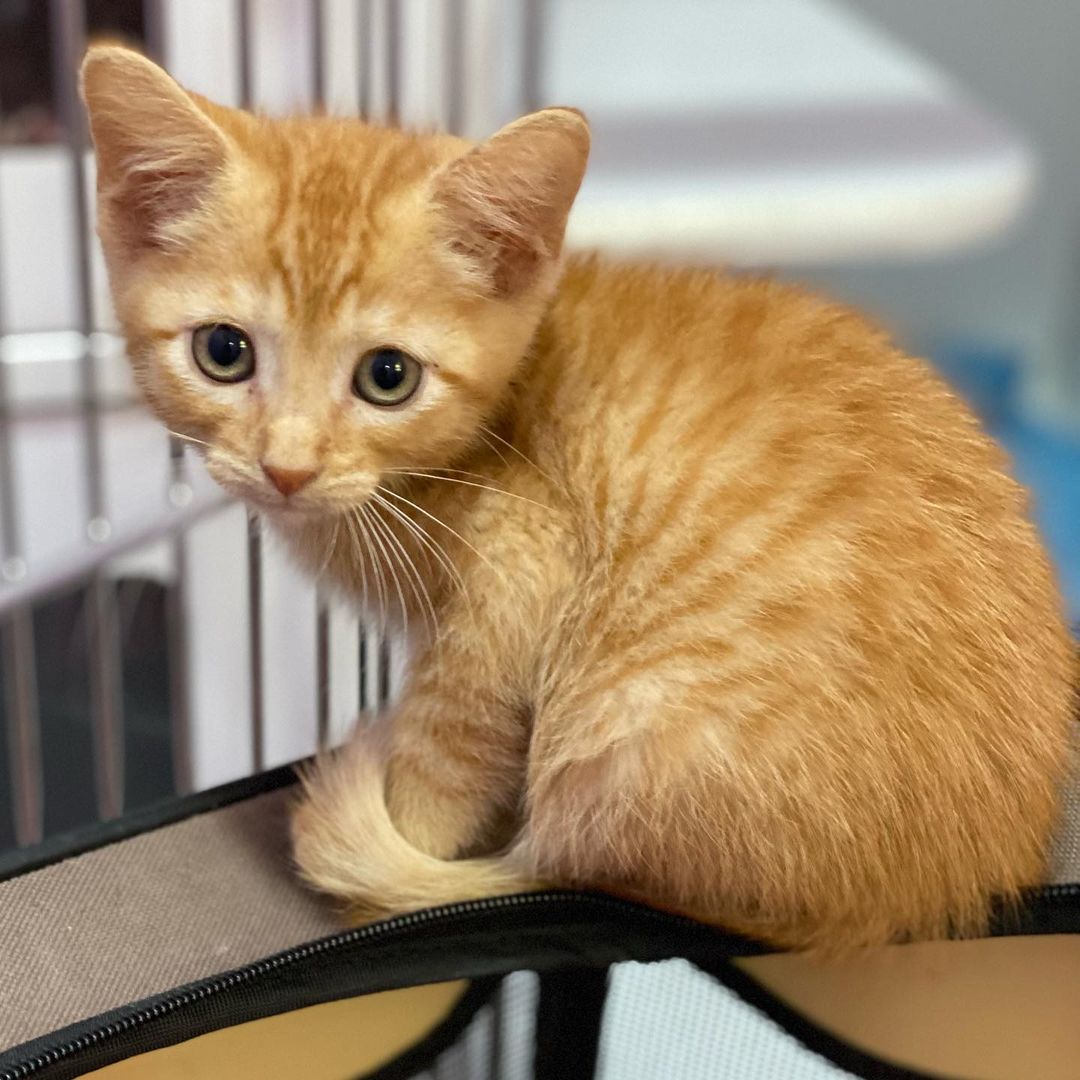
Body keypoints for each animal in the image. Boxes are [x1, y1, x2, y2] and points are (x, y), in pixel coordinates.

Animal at [79, 46, 1075, 950]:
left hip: (627, 725)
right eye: (224, 352)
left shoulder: (524, 571)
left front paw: (408, 838)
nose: (287, 468)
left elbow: (450, 749)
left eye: (388, 377)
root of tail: (942, 888)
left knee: (564, 862)